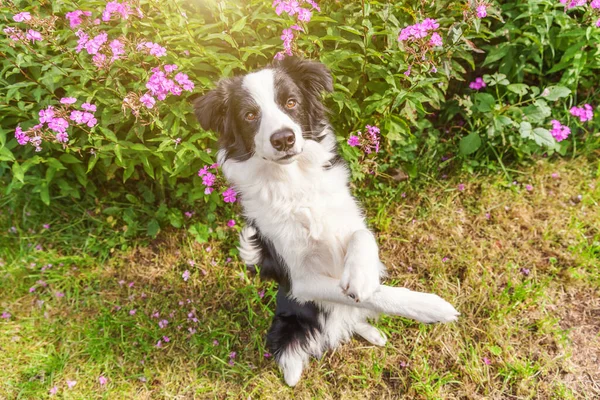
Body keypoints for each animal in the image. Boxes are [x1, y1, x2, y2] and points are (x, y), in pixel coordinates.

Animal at [193, 57, 460, 388]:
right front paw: (430, 307)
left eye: (291, 102)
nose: (283, 138)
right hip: (289, 321)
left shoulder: (348, 220)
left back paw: (372, 332)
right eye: (250, 115)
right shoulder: (302, 281)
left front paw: (361, 276)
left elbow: (363, 238)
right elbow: (374, 294)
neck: (294, 185)